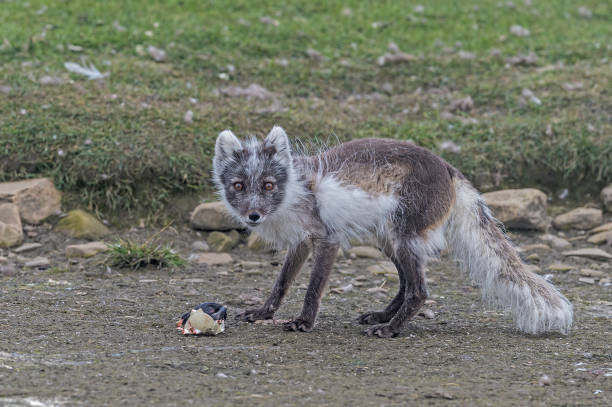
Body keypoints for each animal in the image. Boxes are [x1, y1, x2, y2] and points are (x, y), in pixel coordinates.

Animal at [212, 126, 572, 338]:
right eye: (239, 186)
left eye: (268, 185)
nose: (253, 215)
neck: (294, 193)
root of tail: (449, 169)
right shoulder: (301, 242)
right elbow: (282, 283)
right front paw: (263, 312)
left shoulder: (327, 238)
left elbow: (312, 289)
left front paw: (304, 322)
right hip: (386, 237)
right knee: (405, 283)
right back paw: (382, 316)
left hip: (402, 235)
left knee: (420, 290)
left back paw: (392, 328)